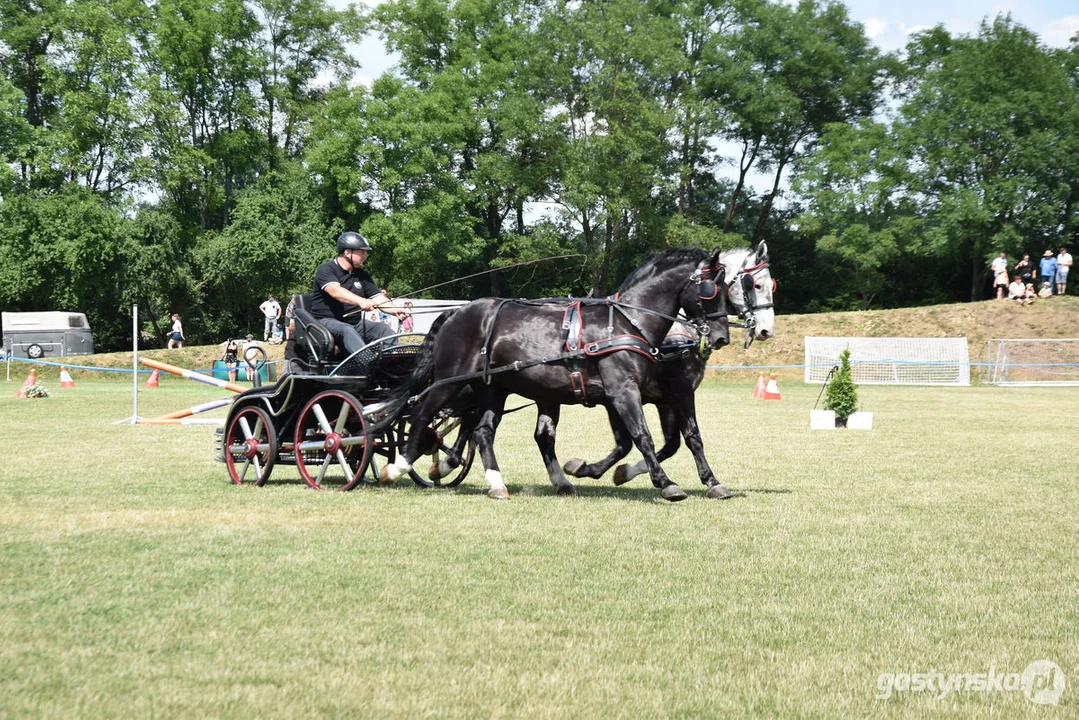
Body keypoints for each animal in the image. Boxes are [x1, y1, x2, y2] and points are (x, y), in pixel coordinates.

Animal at [379, 248, 733, 500]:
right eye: (711, 289)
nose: (721, 337)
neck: (627, 322)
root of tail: (457, 311)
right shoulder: (624, 391)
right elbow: (642, 437)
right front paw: (665, 482)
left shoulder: (645, 395)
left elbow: (682, 437)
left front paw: (712, 482)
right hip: (451, 381)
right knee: (423, 414)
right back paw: (399, 467)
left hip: (494, 389)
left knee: (483, 431)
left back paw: (498, 483)